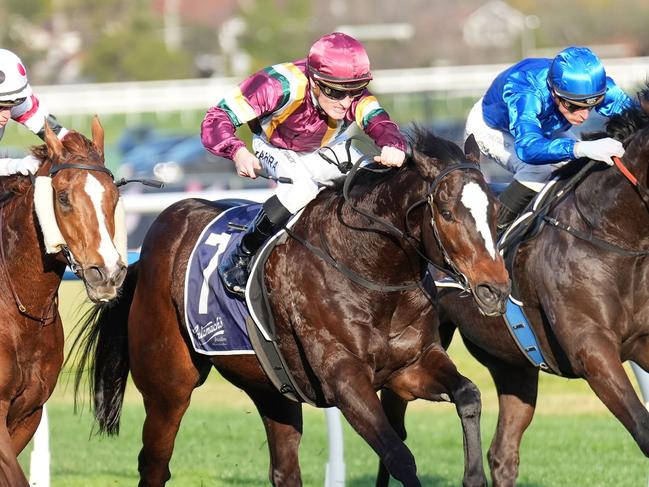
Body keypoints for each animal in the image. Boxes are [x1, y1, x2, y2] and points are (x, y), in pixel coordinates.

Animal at [74, 130, 512, 487]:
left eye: (494, 209)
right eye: (448, 213)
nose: (495, 288)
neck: (367, 266)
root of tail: (149, 245)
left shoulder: (409, 367)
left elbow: (469, 395)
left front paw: (474, 475)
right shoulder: (344, 378)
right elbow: (399, 456)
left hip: (270, 387)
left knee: (284, 469)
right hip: (169, 386)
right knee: (154, 465)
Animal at [378, 104, 649, 487]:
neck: (609, 233)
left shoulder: (641, 341)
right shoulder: (592, 351)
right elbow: (643, 429)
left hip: (512, 365)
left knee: (503, 454)